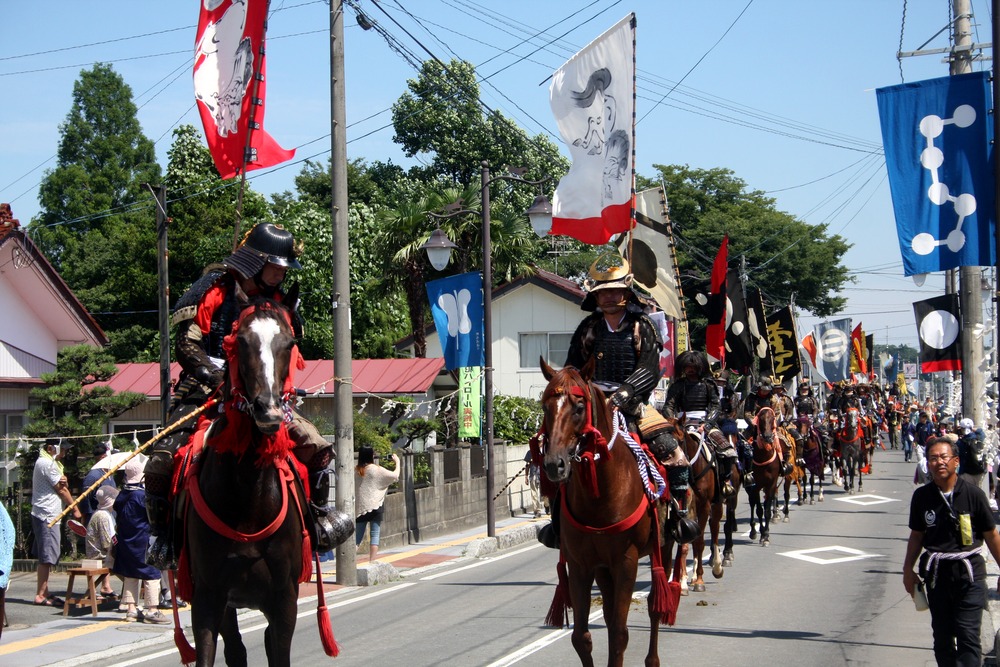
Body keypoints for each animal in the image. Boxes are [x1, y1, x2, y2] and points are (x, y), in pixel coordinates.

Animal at [178, 288, 322, 667]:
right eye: (240, 341)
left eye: (289, 343)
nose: (267, 410)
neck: (248, 499)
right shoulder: (208, 595)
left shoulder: (284, 598)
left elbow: (279, 651)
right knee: (236, 650)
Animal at [536, 360, 676, 667]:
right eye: (545, 407)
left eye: (579, 407)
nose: (554, 464)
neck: (599, 496)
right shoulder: (580, 563)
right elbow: (582, 637)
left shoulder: (626, 561)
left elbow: (621, 634)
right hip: (602, 567)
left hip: (664, 545)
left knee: (655, 605)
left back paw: (653, 660)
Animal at [748, 408, 784, 548]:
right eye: (761, 419)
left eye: (773, 418)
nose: (768, 437)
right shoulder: (756, 485)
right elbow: (759, 510)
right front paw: (762, 533)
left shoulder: (771, 483)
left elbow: (767, 510)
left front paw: (766, 536)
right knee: (752, 503)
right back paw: (753, 531)